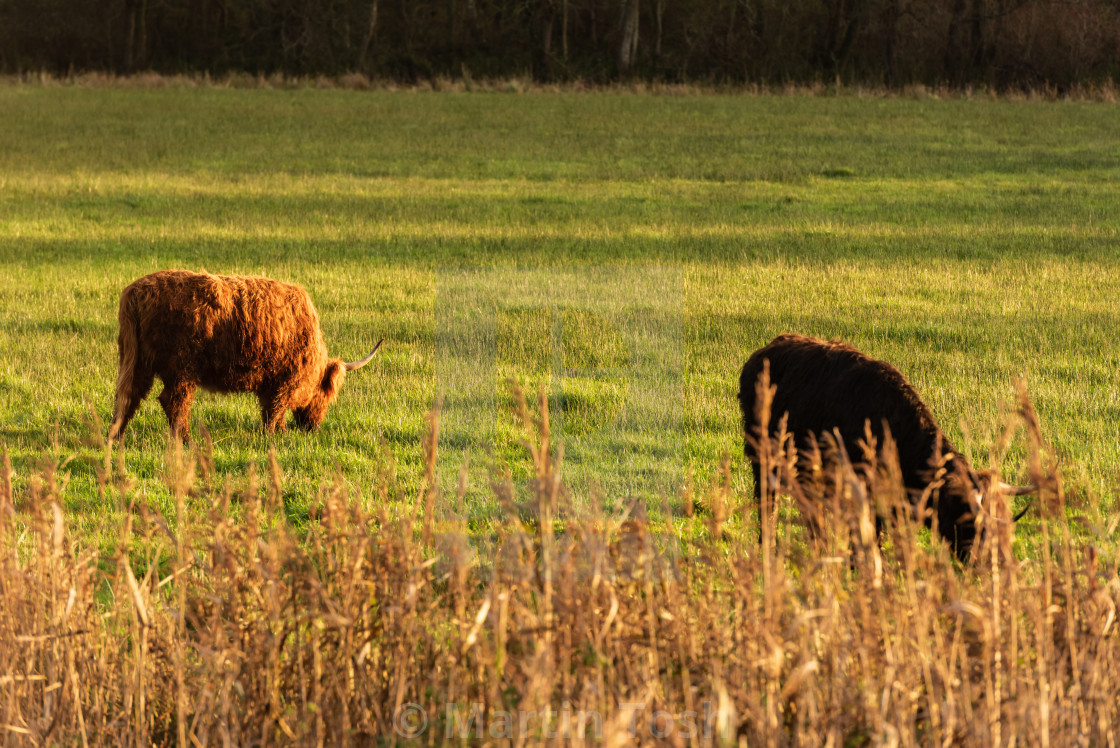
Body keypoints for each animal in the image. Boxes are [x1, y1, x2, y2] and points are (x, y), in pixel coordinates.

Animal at [106, 269, 383, 441]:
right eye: (326, 394)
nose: (312, 427)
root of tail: (136, 291)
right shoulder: (283, 379)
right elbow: (275, 408)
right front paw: (274, 435)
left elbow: (272, 409)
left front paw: (279, 432)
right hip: (181, 368)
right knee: (173, 401)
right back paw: (185, 440)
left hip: (137, 361)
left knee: (128, 396)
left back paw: (117, 436)